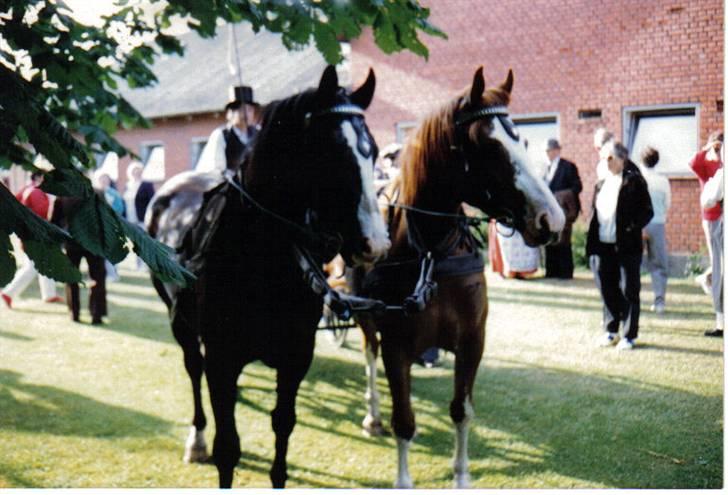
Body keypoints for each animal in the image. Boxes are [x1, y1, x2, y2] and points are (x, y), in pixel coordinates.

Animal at [144, 68, 390, 490]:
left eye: (371, 150)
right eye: (332, 152)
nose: (375, 243)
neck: (262, 261)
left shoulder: (296, 357)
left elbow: (283, 426)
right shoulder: (222, 359)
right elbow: (228, 446)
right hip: (180, 321)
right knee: (193, 368)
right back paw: (196, 439)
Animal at [352, 68, 564, 490]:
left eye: (522, 139)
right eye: (489, 146)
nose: (551, 219)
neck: (432, 253)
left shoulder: (472, 340)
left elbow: (461, 410)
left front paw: (462, 476)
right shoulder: (396, 345)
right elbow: (405, 420)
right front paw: (403, 480)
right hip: (365, 315)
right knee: (369, 354)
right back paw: (372, 413)